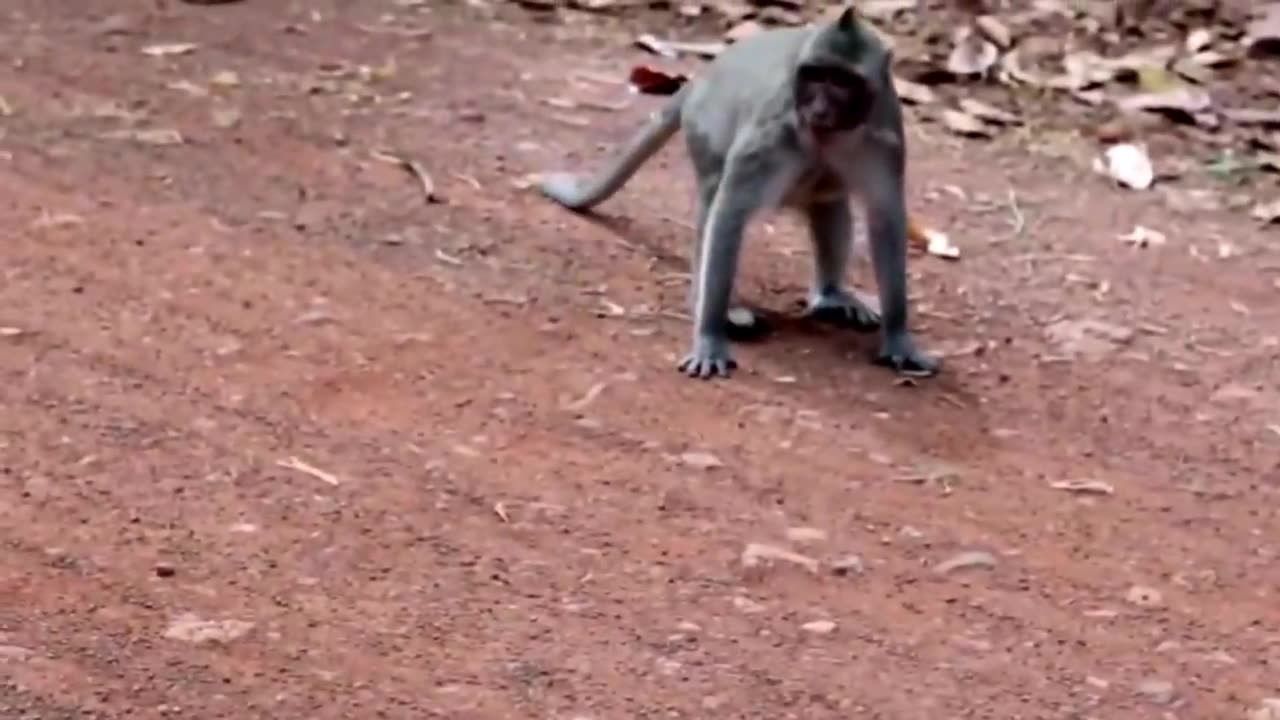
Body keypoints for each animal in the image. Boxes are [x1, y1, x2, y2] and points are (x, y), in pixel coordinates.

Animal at [537, 5, 942, 379]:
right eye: (815, 76)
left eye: (841, 81)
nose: (818, 106)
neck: (827, 135)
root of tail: (700, 79)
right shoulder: (771, 136)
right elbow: (730, 211)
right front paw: (710, 337)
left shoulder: (884, 139)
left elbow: (885, 218)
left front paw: (899, 336)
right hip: (703, 126)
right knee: (714, 194)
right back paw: (713, 306)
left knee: (828, 199)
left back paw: (830, 296)